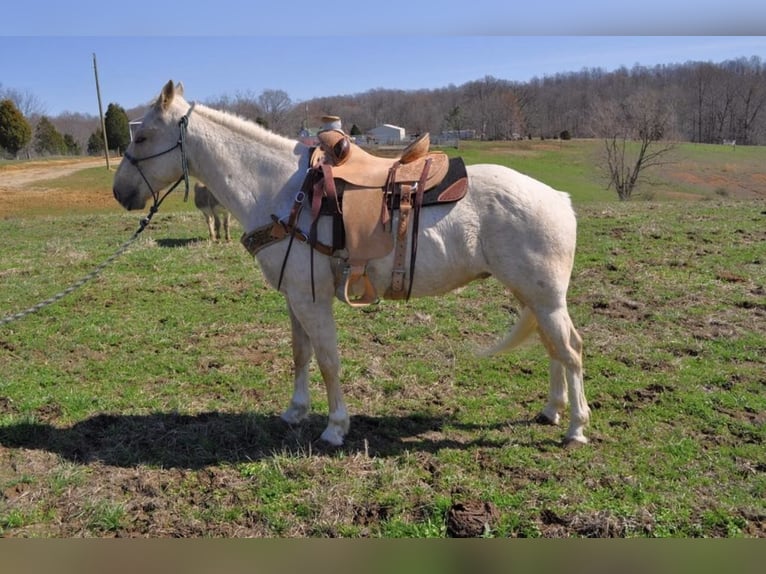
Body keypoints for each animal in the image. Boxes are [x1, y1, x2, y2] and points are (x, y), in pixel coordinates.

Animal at [111, 81, 592, 450]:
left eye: (142, 137)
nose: (120, 192)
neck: (280, 191)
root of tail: (559, 199)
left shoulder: (312, 299)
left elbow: (328, 360)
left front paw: (335, 427)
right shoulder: (295, 297)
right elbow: (300, 353)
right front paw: (295, 411)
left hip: (545, 298)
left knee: (569, 349)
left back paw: (575, 428)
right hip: (532, 295)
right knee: (552, 347)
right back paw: (551, 410)